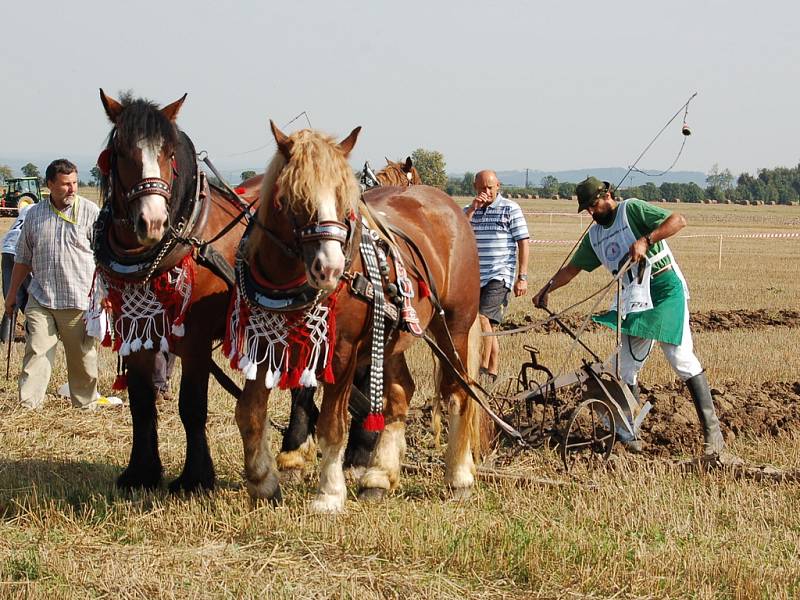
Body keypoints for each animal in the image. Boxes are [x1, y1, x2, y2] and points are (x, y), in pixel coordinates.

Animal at [92, 90, 247, 492]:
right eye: (120, 151)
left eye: (168, 153)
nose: (153, 222)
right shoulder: (136, 334)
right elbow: (141, 403)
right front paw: (141, 471)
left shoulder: (195, 338)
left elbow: (191, 406)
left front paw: (195, 477)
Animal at [231, 124, 482, 512]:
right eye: (292, 198)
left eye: (344, 199)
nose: (330, 267)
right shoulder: (262, 345)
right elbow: (250, 412)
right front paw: (263, 481)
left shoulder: (343, 353)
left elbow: (332, 424)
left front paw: (329, 494)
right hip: (391, 337)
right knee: (400, 394)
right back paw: (379, 476)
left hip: (453, 325)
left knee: (457, 392)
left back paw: (458, 478)